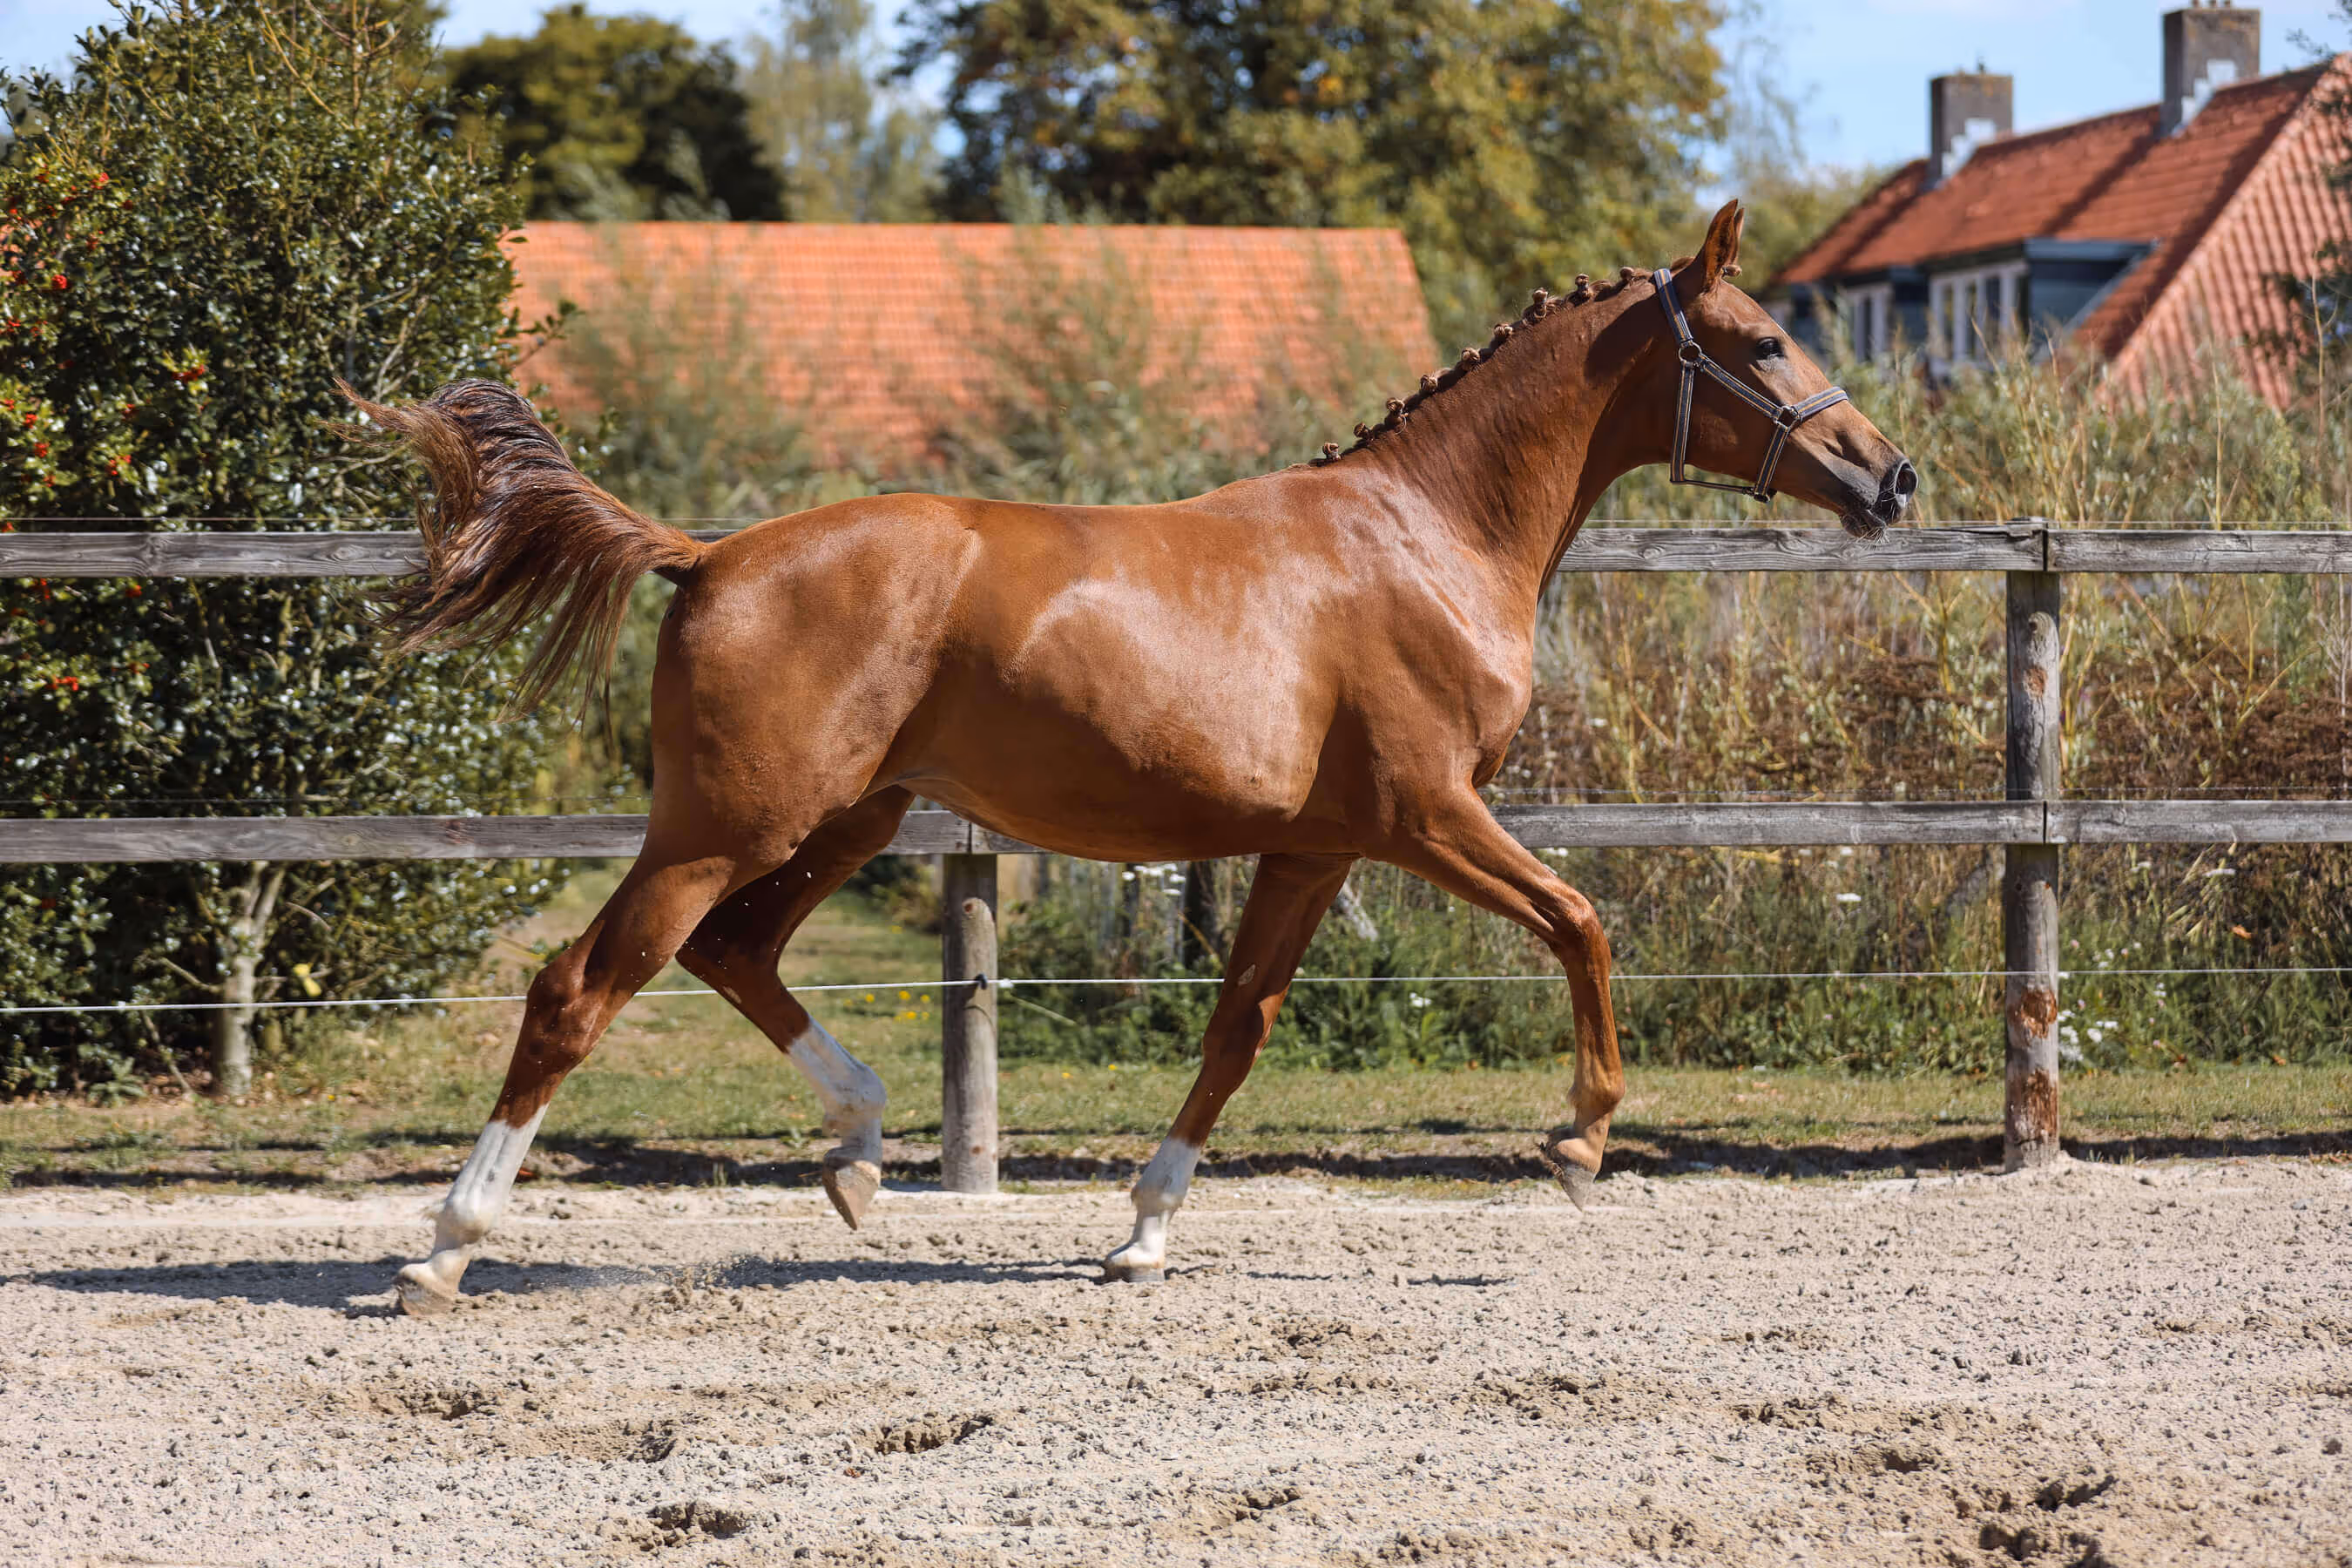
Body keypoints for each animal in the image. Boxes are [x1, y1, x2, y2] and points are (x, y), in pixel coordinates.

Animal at [353, 199, 1913, 1316]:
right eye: (1762, 342)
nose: (1890, 477)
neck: (1424, 538)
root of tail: (711, 553)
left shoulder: (1314, 850)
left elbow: (1238, 1028)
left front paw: (1145, 1234)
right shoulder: (1429, 817)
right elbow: (1582, 921)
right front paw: (1580, 1141)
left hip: (852, 820)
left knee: (735, 954)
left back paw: (859, 1159)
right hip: (727, 824)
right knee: (583, 989)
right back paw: (443, 1251)